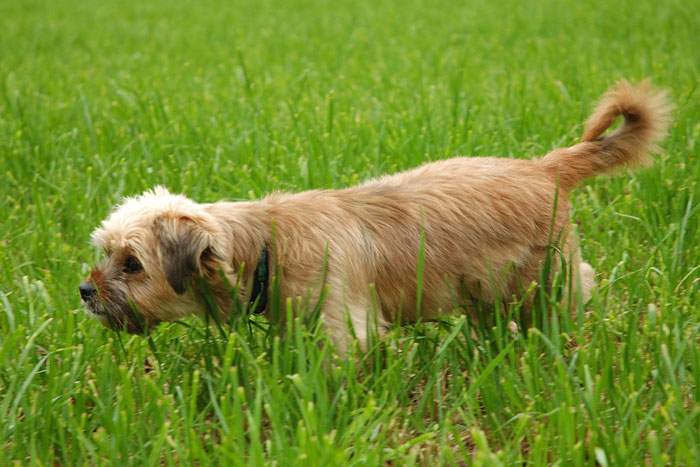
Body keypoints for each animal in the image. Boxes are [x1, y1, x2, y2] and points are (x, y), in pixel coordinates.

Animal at [82, 81, 672, 352]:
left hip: (545, 278)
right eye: (105, 253)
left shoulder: (345, 325)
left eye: (132, 264)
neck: (268, 241)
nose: (85, 291)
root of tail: (545, 167)